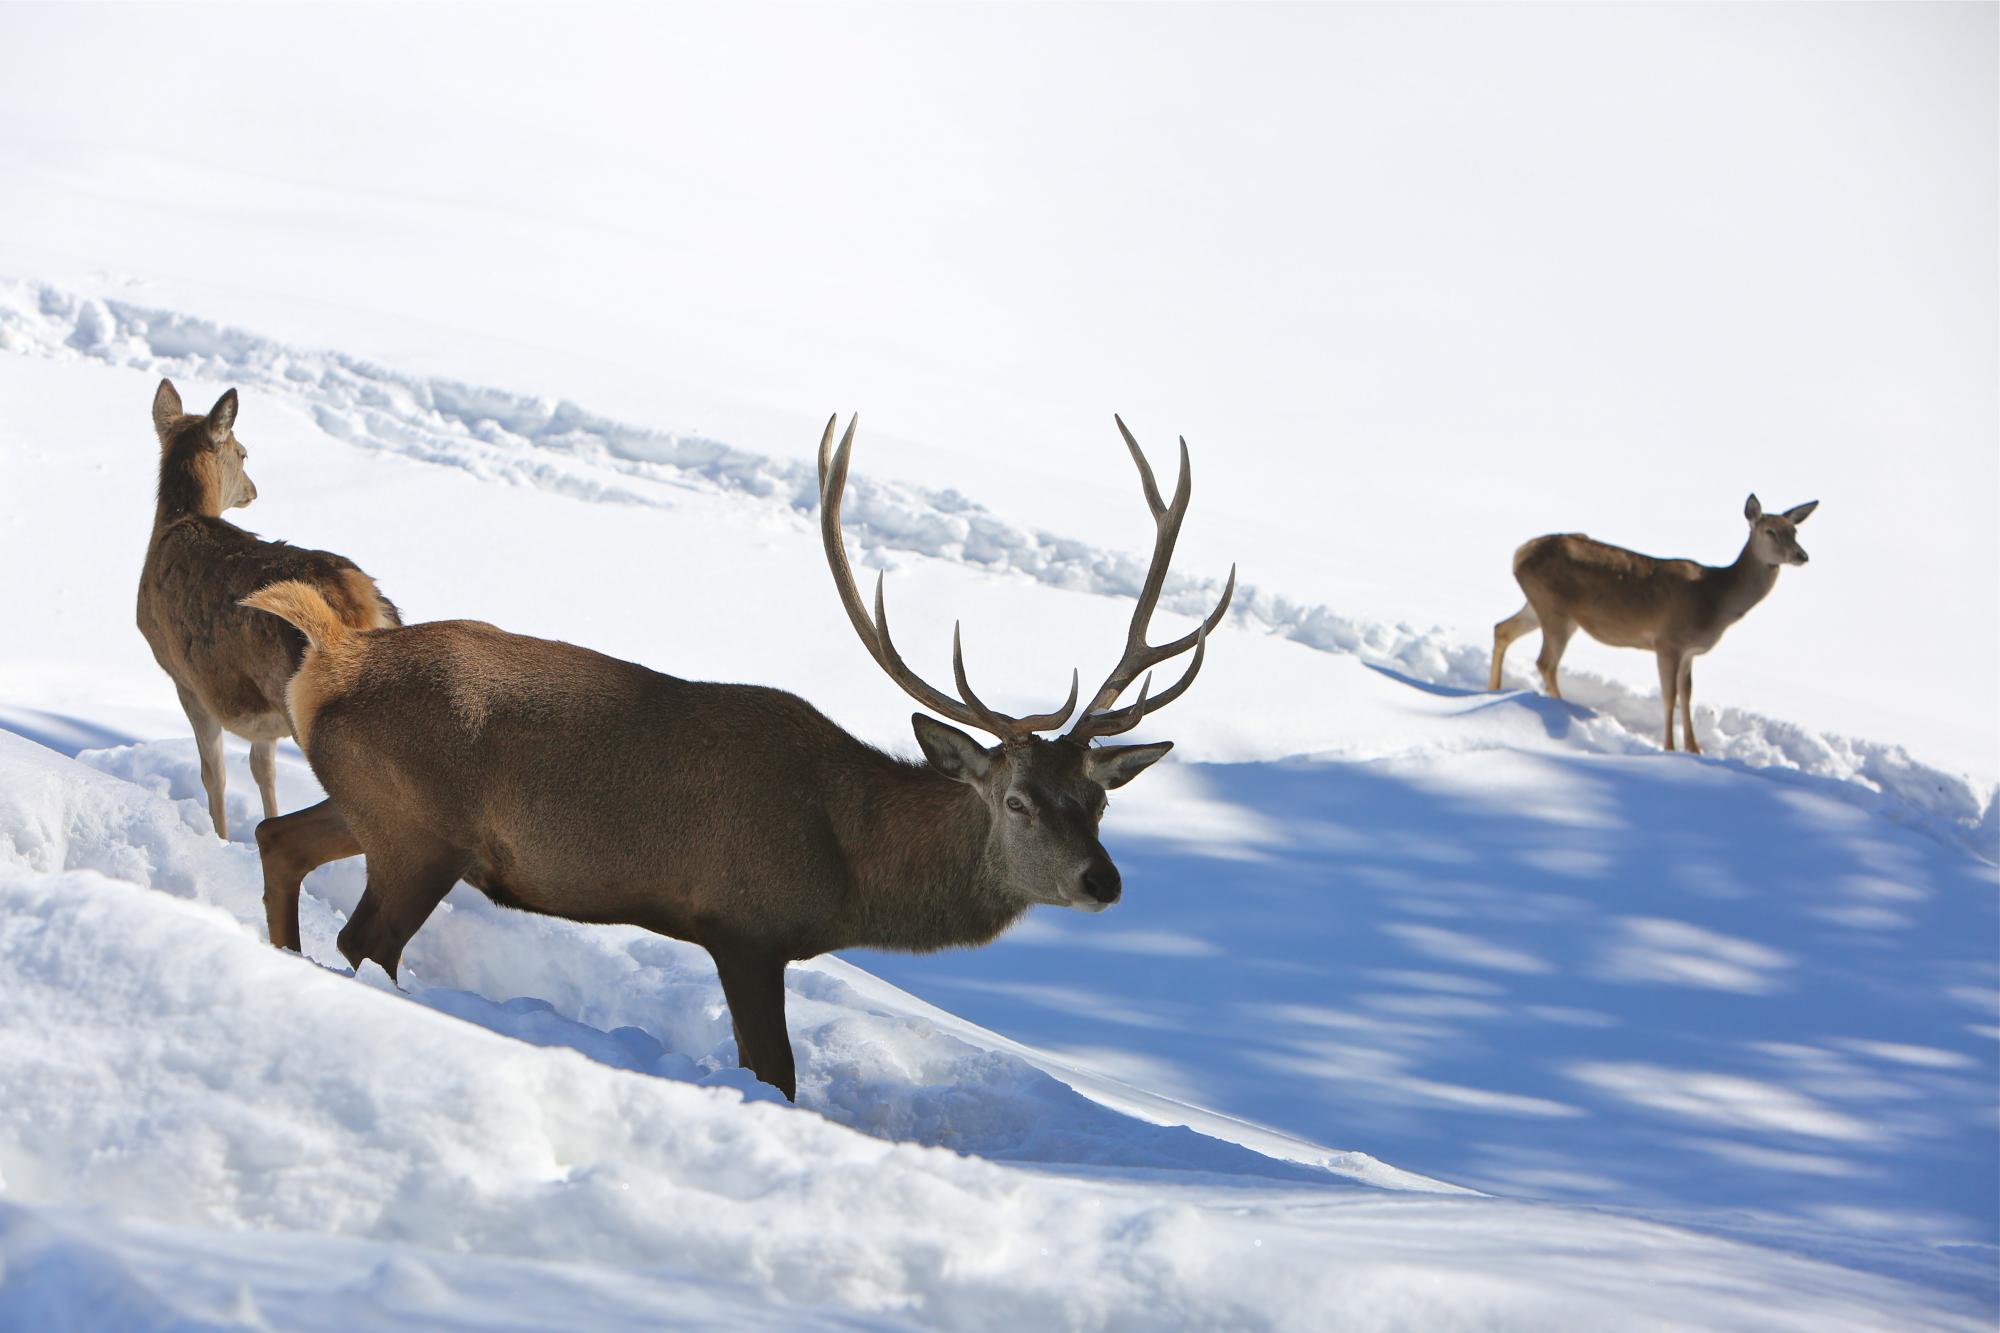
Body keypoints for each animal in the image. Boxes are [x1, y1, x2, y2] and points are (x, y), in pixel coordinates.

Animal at [137, 378, 398, 844]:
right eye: (243, 453)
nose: (253, 490)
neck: (175, 522)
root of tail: (366, 604)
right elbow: (263, 771)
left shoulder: (184, 677)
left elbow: (214, 773)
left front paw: (221, 838)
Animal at [250, 418, 1232, 1096]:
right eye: (1018, 800)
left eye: (1098, 802)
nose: (1102, 879)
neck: (848, 865)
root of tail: (332, 656)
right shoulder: (745, 925)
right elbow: (776, 1074)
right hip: (421, 829)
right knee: (364, 935)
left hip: (375, 805)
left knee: (278, 840)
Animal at [1496, 492, 1824, 752]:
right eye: (1769, 531)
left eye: (1794, 530)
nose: (1802, 555)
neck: (1715, 600)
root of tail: (1519, 554)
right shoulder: (1668, 641)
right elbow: (1669, 696)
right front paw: (1669, 747)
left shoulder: (1690, 651)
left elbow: (1687, 694)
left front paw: (1694, 748)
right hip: (1556, 610)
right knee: (1545, 662)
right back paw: (1560, 707)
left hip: (1538, 604)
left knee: (1503, 629)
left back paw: (1494, 690)